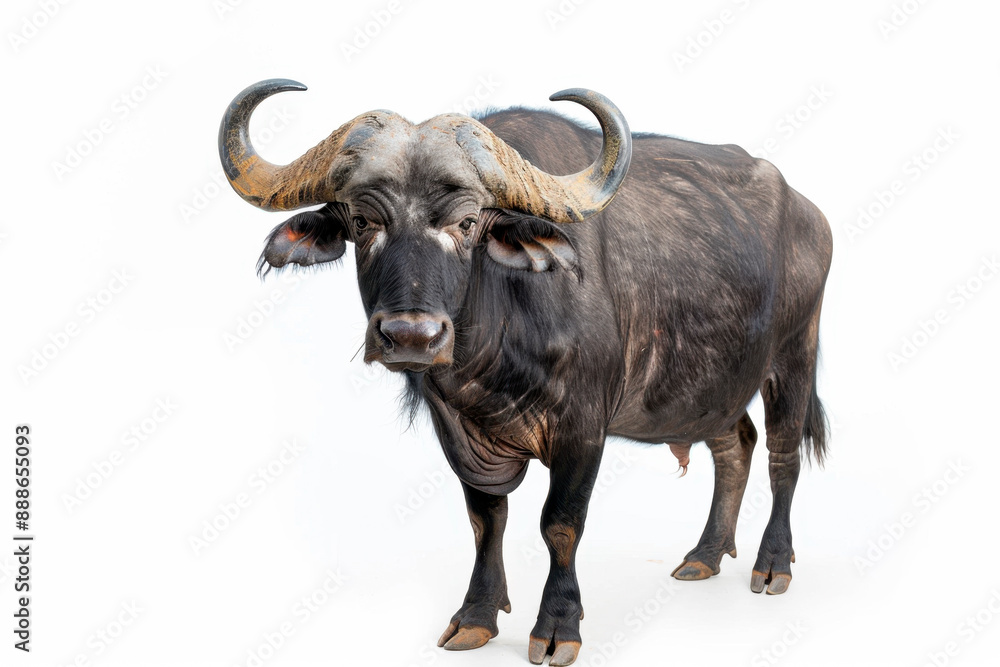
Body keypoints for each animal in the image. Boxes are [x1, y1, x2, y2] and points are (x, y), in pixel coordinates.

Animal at [220, 79, 832, 666]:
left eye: (468, 221)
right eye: (364, 220)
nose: (412, 336)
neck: (493, 354)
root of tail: (811, 215)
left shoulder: (583, 431)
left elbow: (559, 523)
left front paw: (558, 627)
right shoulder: (459, 432)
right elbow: (485, 519)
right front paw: (476, 615)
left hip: (794, 357)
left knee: (782, 456)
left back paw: (773, 565)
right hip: (712, 389)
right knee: (736, 446)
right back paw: (704, 555)